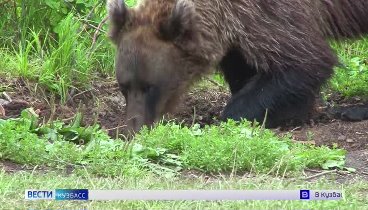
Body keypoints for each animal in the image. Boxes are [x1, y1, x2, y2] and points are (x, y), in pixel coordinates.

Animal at [105, 0, 366, 133]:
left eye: (150, 86)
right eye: (124, 87)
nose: (134, 128)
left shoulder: (275, 14)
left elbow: (305, 61)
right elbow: (244, 69)